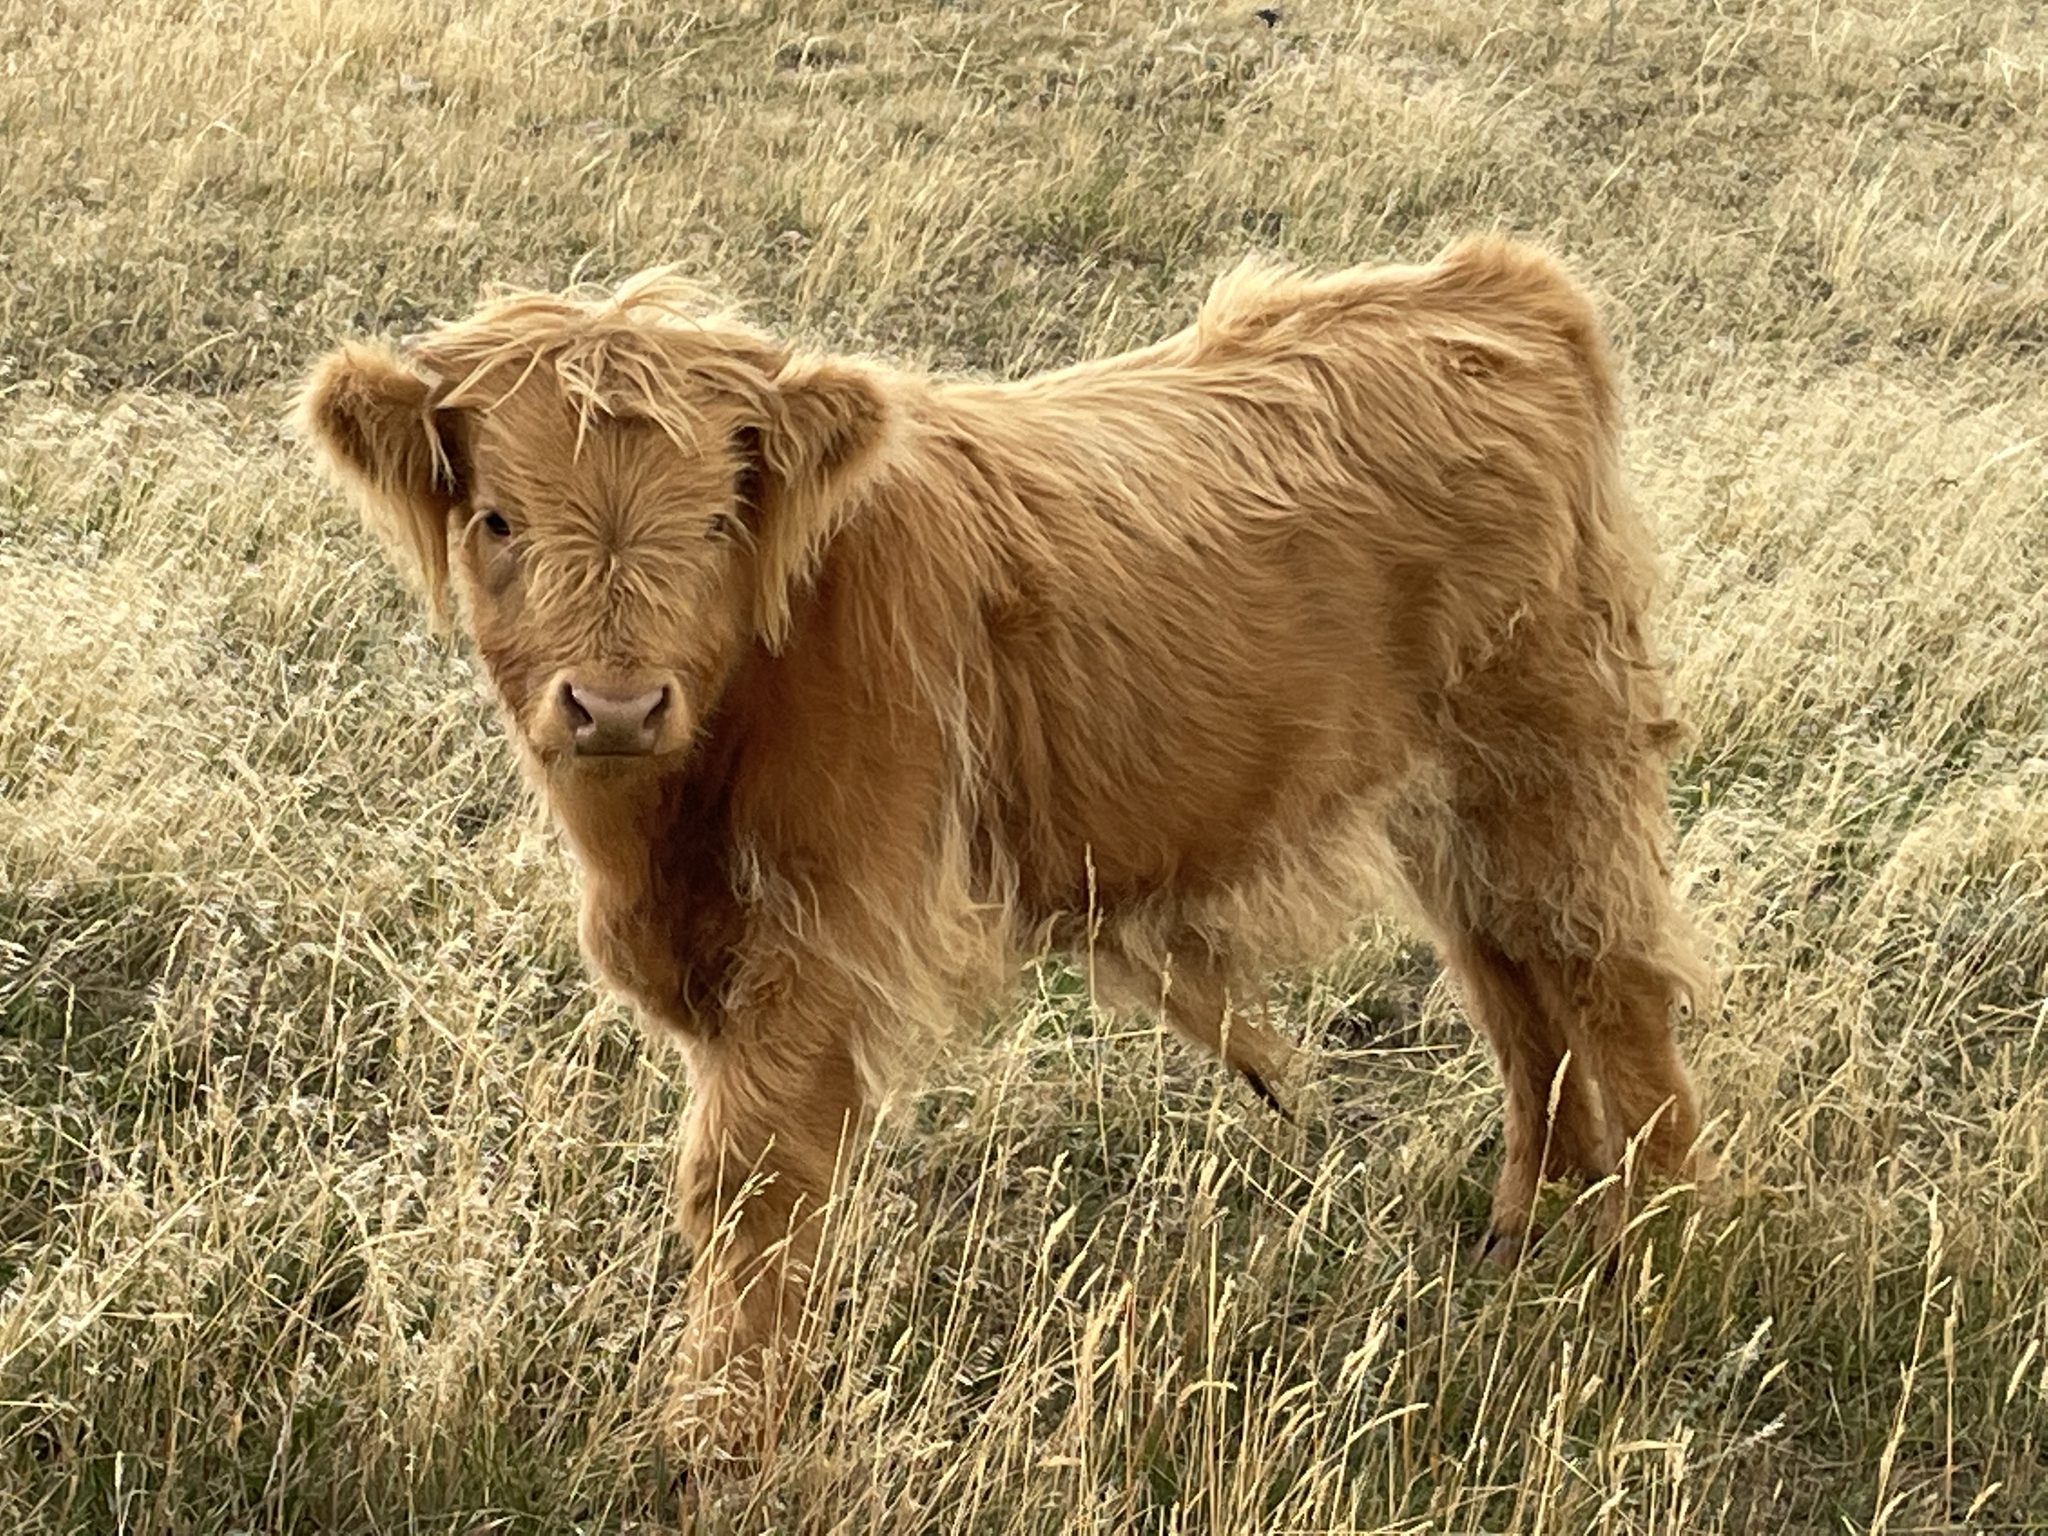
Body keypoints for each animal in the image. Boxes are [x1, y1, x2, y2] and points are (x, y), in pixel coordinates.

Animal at [296, 234, 1712, 1441]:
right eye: (498, 520)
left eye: (714, 521)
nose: (615, 703)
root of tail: (1493, 283)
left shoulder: (829, 931)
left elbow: (747, 1175)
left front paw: (721, 1435)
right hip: (1451, 802)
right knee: (1511, 986)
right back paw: (1531, 1232)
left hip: (1549, 754)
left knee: (1605, 982)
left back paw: (1651, 1263)